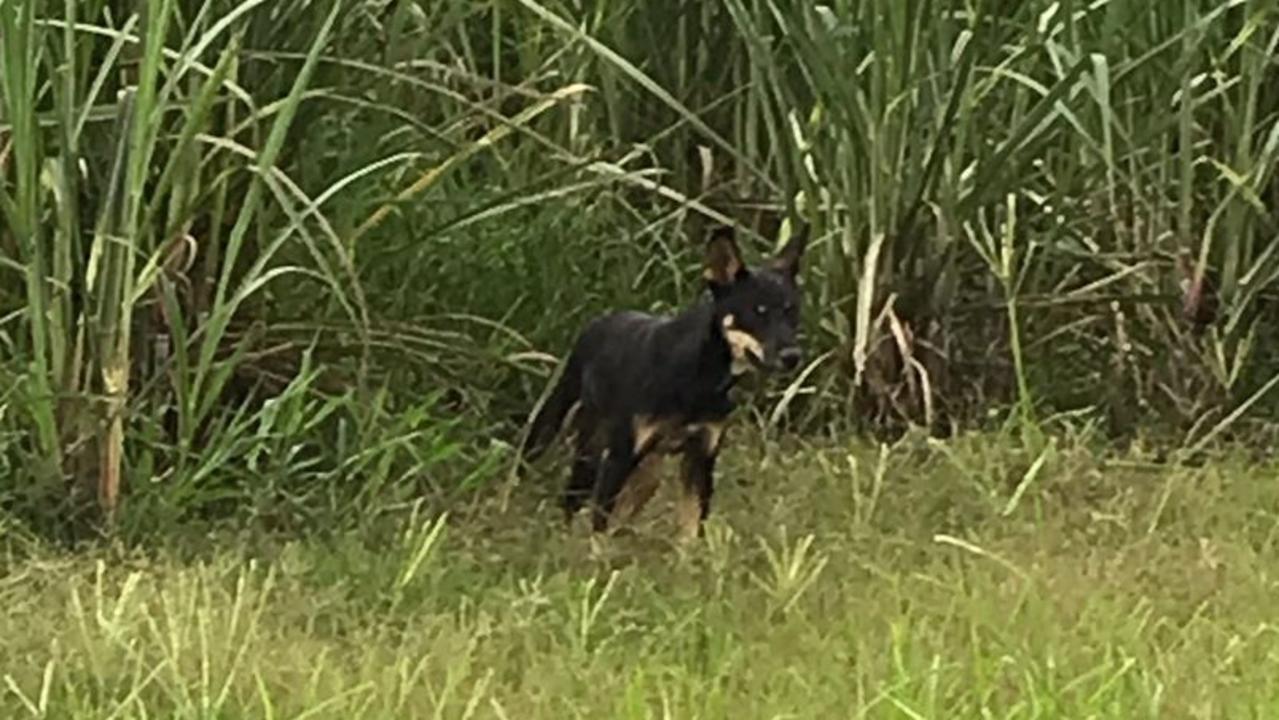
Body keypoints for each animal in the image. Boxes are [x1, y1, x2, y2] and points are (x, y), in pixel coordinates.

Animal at [521, 222, 808, 544]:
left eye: (792, 310)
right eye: (758, 311)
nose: (792, 357)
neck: (695, 373)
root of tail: (597, 323)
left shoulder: (701, 457)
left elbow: (692, 527)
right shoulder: (619, 457)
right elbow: (599, 524)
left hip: (648, 473)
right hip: (579, 441)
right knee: (571, 497)